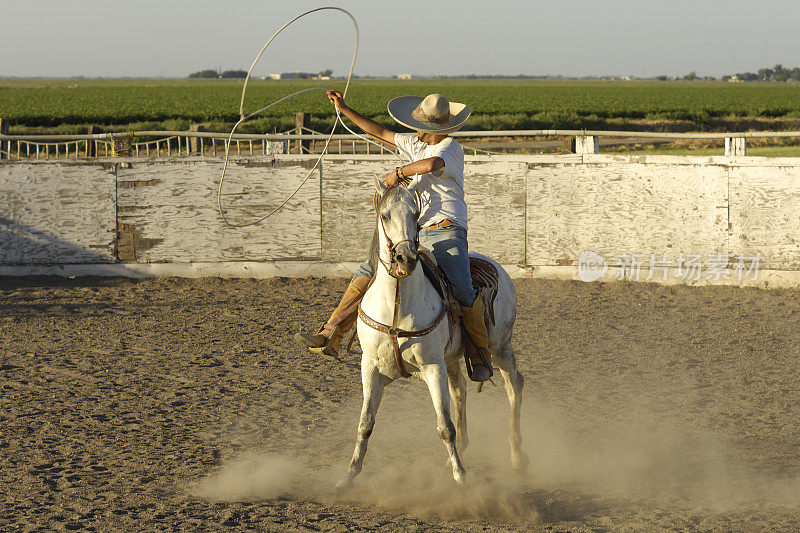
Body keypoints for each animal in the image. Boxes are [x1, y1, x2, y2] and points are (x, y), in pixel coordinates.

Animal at [336, 178, 528, 486]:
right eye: (385, 215)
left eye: (416, 215)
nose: (405, 258)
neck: (397, 305)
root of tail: (496, 266)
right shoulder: (370, 367)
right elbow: (365, 424)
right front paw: (349, 475)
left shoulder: (432, 365)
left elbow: (444, 426)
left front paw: (461, 477)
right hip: (453, 357)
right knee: (460, 390)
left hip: (500, 345)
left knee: (514, 385)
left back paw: (517, 457)